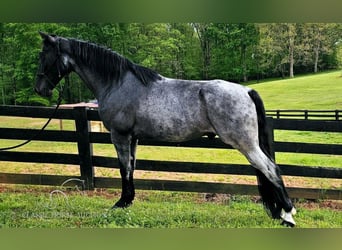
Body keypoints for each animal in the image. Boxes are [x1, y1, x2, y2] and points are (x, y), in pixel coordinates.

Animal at [34, 31, 296, 227]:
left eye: (44, 54)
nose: (39, 89)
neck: (117, 82)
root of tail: (246, 90)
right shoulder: (133, 138)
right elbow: (131, 168)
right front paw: (128, 201)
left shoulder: (120, 136)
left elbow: (123, 169)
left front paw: (120, 203)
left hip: (246, 144)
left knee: (271, 169)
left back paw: (288, 215)